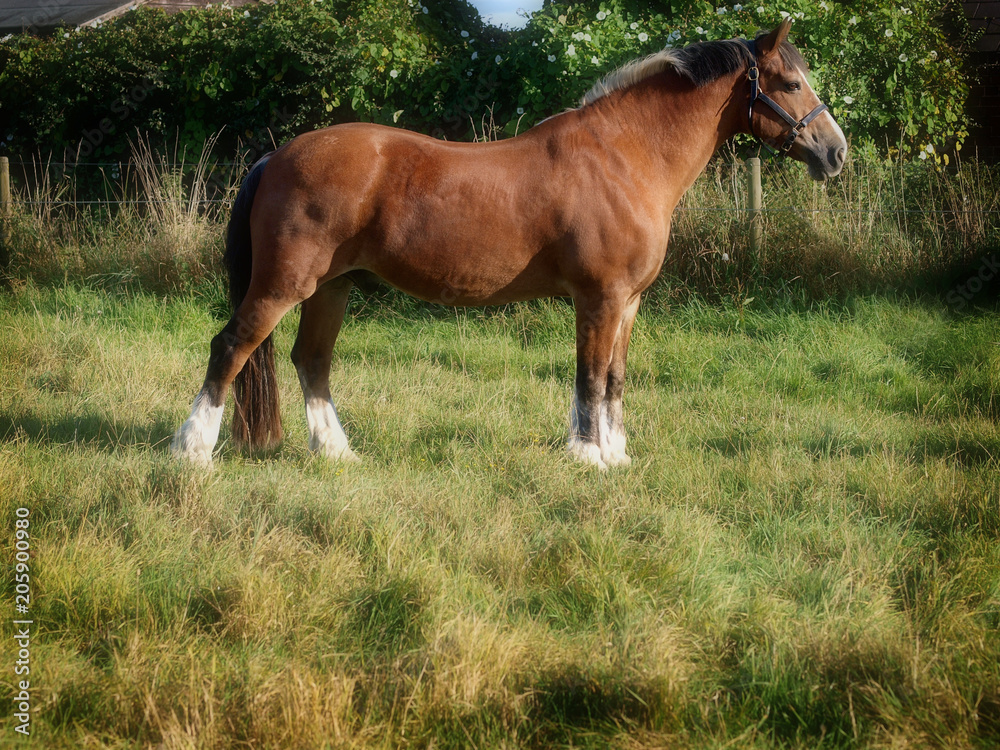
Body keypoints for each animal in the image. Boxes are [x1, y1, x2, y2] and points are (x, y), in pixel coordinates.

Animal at [172, 19, 847, 469]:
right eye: (790, 82)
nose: (835, 153)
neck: (624, 157)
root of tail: (277, 155)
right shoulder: (599, 298)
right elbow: (590, 377)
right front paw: (589, 458)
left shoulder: (628, 303)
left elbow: (615, 378)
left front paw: (617, 456)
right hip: (283, 284)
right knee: (230, 347)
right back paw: (193, 451)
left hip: (331, 287)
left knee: (312, 360)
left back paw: (337, 452)